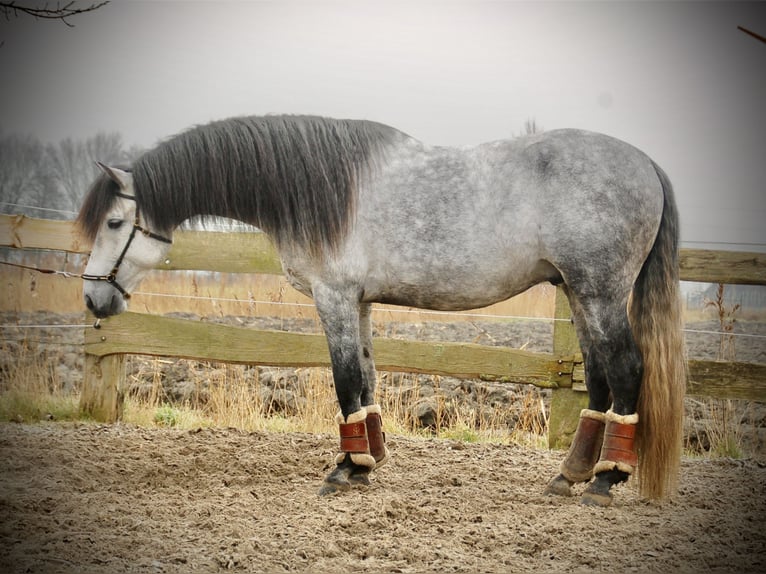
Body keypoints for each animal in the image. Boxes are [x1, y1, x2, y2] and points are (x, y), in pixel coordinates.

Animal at [79, 113, 688, 508]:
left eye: (114, 222)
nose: (91, 297)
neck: (322, 189)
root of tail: (646, 163)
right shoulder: (362, 303)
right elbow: (368, 381)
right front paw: (368, 462)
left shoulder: (334, 297)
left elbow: (345, 379)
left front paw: (345, 469)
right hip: (579, 294)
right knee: (599, 379)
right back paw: (571, 475)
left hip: (599, 293)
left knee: (626, 371)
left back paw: (606, 481)